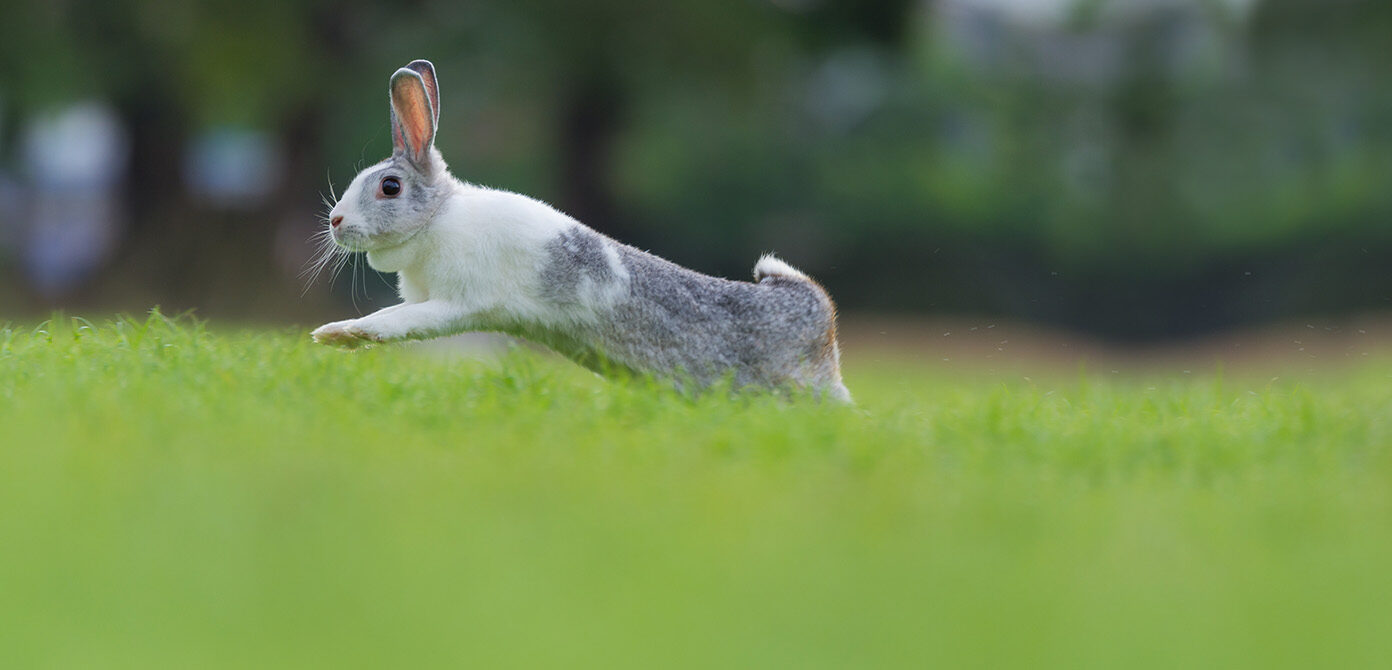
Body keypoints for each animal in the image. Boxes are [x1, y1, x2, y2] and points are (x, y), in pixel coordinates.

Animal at [313, 59, 846, 398]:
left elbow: (394, 322)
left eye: (389, 187)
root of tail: (822, 323)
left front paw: (337, 334)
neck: (437, 218)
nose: (336, 222)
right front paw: (336, 337)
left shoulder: (454, 304)